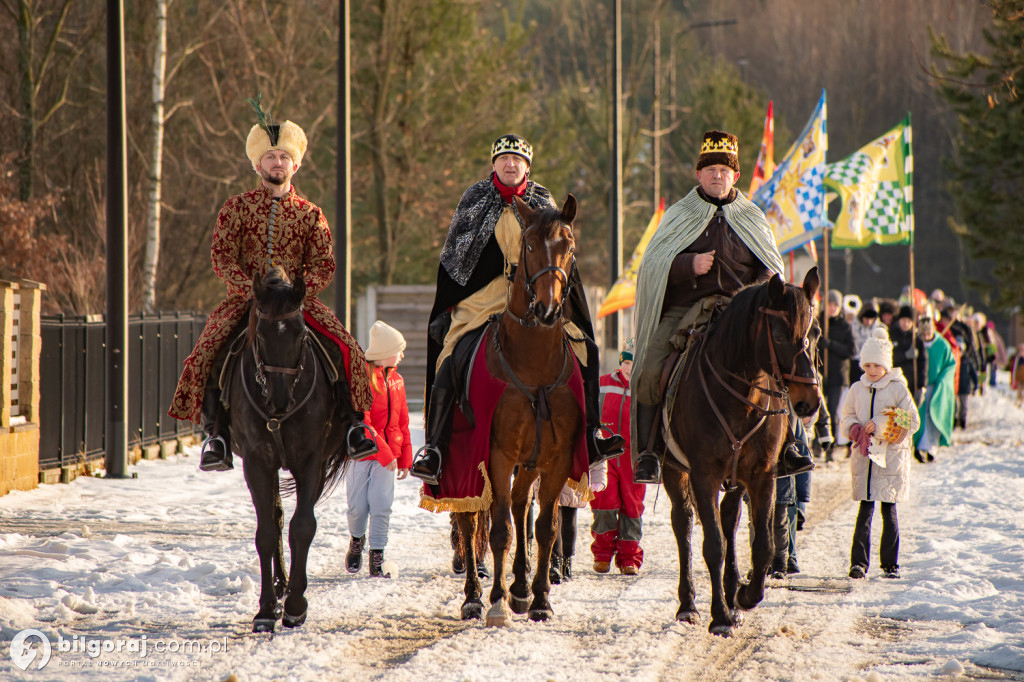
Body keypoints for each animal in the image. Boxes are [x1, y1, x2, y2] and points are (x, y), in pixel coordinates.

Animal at [228, 266, 360, 630]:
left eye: (301, 334)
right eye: (260, 336)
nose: (280, 398)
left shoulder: (311, 460)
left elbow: (303, 527)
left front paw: (296, 605)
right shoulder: (257, 462)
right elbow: (266, 532)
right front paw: (265, 609)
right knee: (275, 516)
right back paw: (279, 584)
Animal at [456, 193, 585, 622]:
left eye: (570, 246)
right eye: (528, 246)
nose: (546, 309)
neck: (533, 365)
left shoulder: (558, 458)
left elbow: (544, 526)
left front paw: (540, 598)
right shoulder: (496, 454)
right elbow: (498, 530)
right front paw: (495, 600)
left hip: (529, 463)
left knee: (519, 506)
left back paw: (521, 587)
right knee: (469, 518)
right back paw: (474, 596)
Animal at [659, 264, 819, 630]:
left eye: (811, 333)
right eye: (779, 337)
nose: (810, 401)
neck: (741, 397)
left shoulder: (762, 475)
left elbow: (762, 545)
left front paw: (745, 595)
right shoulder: (703, 475)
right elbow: (713, 545)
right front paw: (719, 615)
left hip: (735, 481)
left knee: (730, 519)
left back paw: (732, 592)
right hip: (674, 469)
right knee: (683, 522)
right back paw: (688, 604)